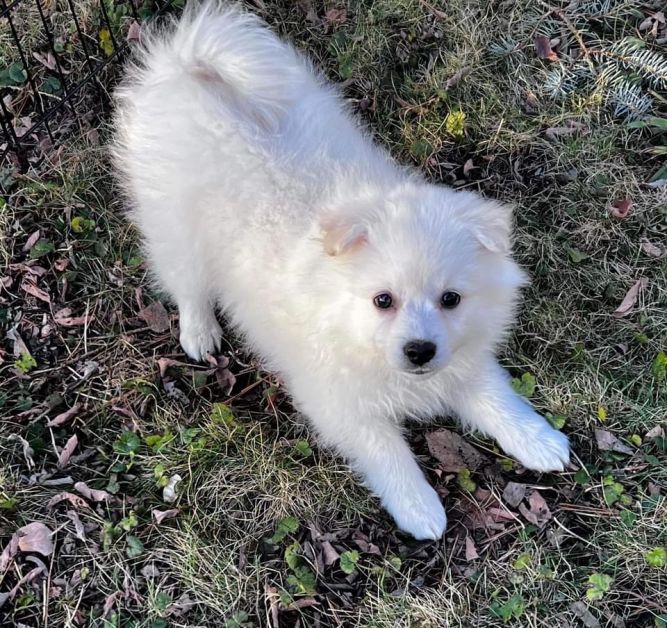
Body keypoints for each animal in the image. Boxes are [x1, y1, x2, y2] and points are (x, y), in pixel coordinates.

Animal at [113, 0, 568, 540]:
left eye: (451, 299)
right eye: (382, 300)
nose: (419, 351)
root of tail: (191, 68)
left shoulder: (461, 356)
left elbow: (495, 395)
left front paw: (539, 440)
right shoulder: (340, 403)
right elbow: (387, 452)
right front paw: (420, 507)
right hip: (175, 226)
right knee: (187, 283)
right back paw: (199, 331)